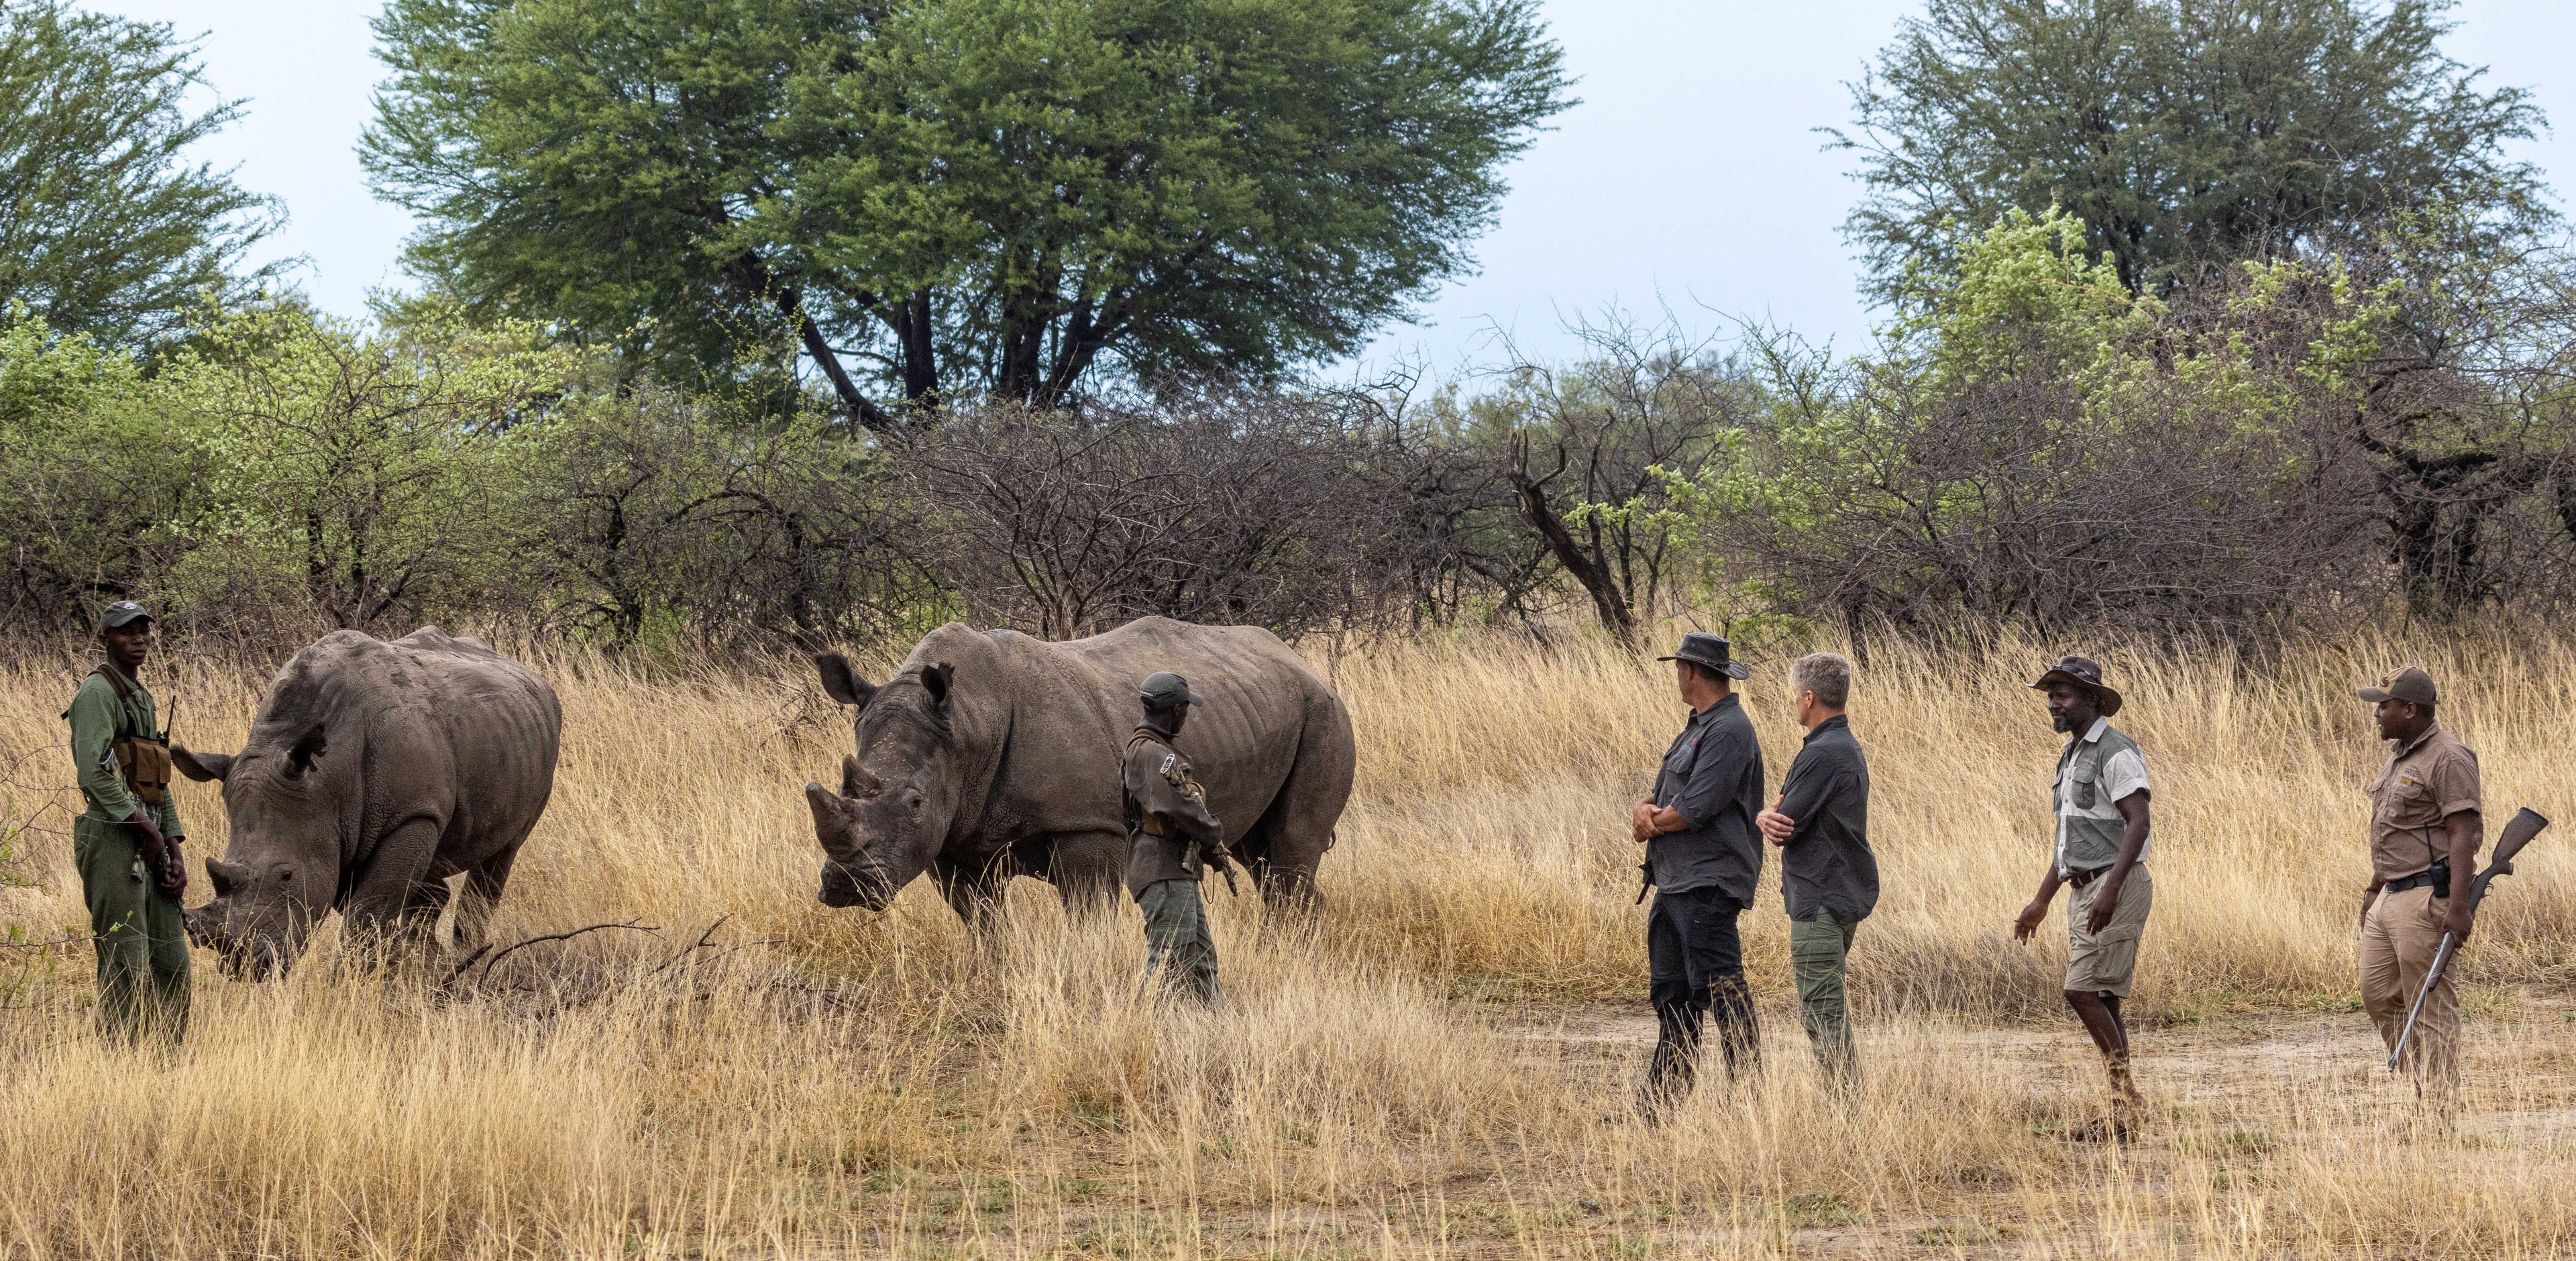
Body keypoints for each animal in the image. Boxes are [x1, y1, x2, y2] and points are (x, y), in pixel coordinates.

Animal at [173, 628, 562, 977]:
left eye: (287, 876)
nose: (244, 967)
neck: (327, 781)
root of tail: (530, 675)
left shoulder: (410, 814)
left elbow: (367, 911)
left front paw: (349, 982)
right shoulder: (338, 828)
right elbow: (368, 904)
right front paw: (398, 962)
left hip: (542, 746)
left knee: (503, 853)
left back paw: (465, 957)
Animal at [804, 616, 1354, 923]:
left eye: (915, 802)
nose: (847, 886)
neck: (966, 722)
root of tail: (1300, 661)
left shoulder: (1086, 825)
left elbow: (1088, 917)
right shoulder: (952, 834)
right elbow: (982, 924)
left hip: (1325, 713)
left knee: (1291, 851)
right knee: (1260, 856)